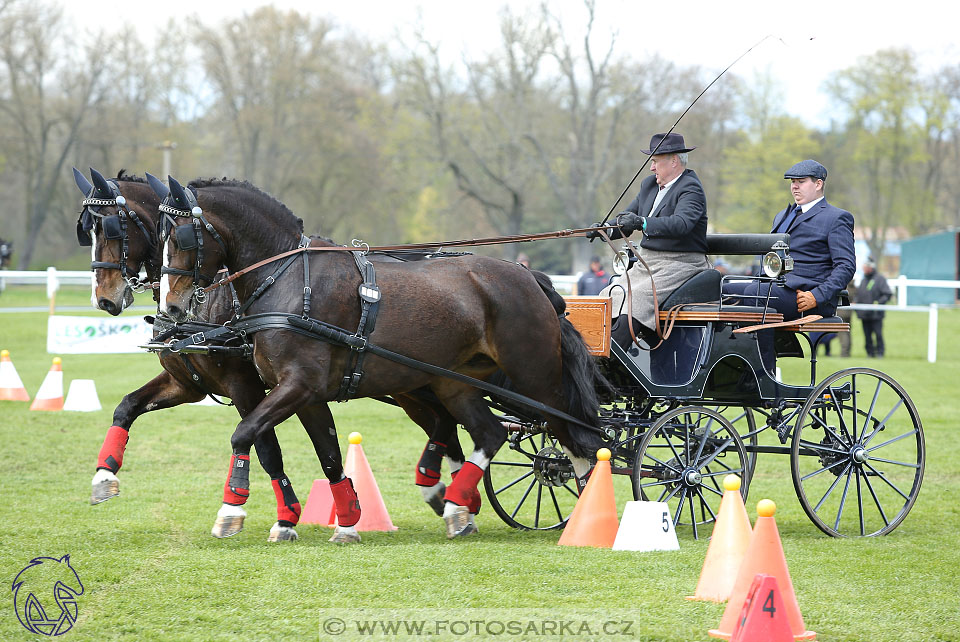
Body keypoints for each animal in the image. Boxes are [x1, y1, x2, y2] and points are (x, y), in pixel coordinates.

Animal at [73, 166, 470, 540]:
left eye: (110, 229)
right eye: (86, 231)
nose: (103, 299)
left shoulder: (245, 385)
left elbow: (266, 447)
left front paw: (273, 515)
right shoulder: (187, 384)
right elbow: (127, 406)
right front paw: (104, 476)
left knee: (453, 425)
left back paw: (456, 502)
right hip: (409, 387)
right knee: (448, 427)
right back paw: (452, 499)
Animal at [159, 174, 608, 536]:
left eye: (180, 239)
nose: (171, 308)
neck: (287, 279)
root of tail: (530, 277)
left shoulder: (298, 385)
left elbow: (245, 433)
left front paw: (231, 510)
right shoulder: (306, 394)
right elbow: (328, 455)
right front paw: (345, 520)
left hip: (535, 377)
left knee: (575, 435)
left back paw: (583, 507)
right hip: (454, 383)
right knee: (490, 433)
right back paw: (458, 506)